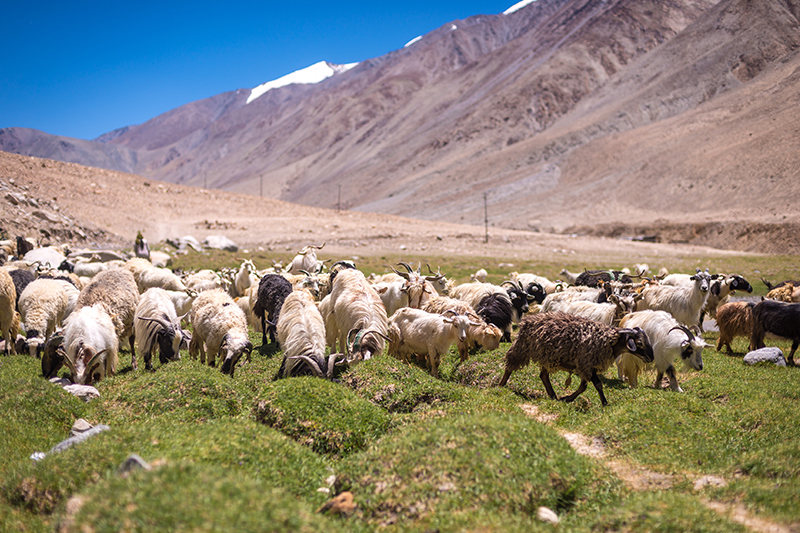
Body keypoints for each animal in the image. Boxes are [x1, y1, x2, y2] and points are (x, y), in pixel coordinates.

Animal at [496, 310, 652, 406]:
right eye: (639, 342)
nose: (651, 358)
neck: (609, 341)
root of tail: (529, 320)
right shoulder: (586, 364)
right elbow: (597, 385)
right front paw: (604, 403)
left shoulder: (587, 367)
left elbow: (584, 387)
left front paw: (567, 398)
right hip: (522, 348)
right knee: (510, 365)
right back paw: (501, 385)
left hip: (547, 356)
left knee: (543, 376)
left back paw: (553, 396)